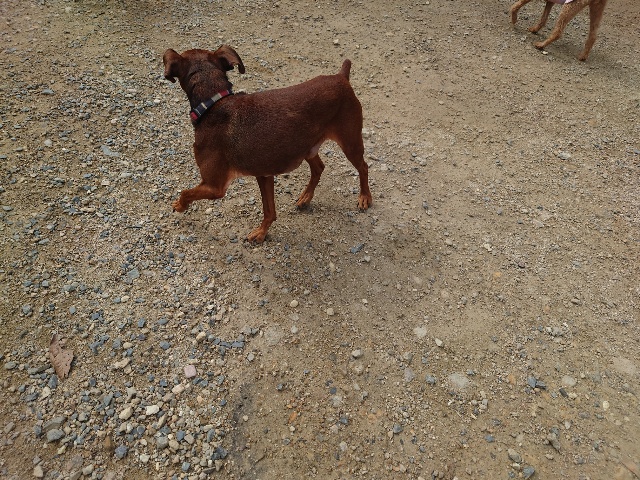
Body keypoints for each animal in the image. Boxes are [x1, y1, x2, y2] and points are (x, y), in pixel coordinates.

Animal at [162, 45, 372, 243]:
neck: (213, 103)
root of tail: (341, 76)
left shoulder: (215, 186)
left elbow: (185, 192)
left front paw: (179, 205)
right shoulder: (264, 174)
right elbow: (269, 210)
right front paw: (262, 233)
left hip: (350, 142)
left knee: (363, 167)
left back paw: (364, 197)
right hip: (306, 146)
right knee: (319, 167)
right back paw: (305, 197)